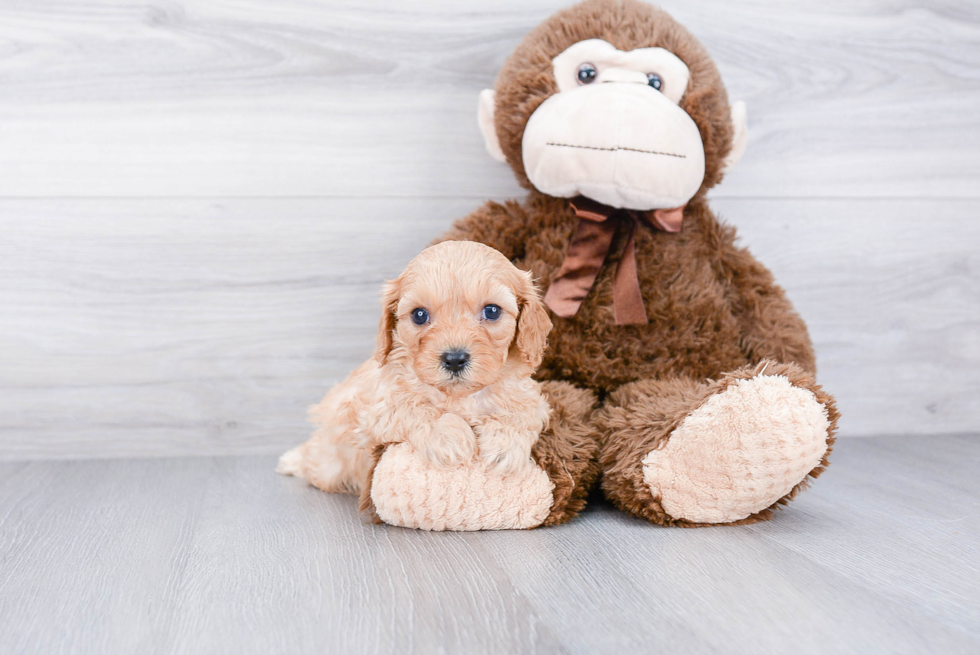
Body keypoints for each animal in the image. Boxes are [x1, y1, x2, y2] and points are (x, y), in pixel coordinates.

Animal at [278, 241, 552, 498]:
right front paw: (448, 435)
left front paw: (504, 445)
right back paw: (292, 460)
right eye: (419, 315)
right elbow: (413, 406)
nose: (454, 359)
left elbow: (523, 411)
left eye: (492, 311)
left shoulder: (528, 396)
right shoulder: (373, 408)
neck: (459, 396)